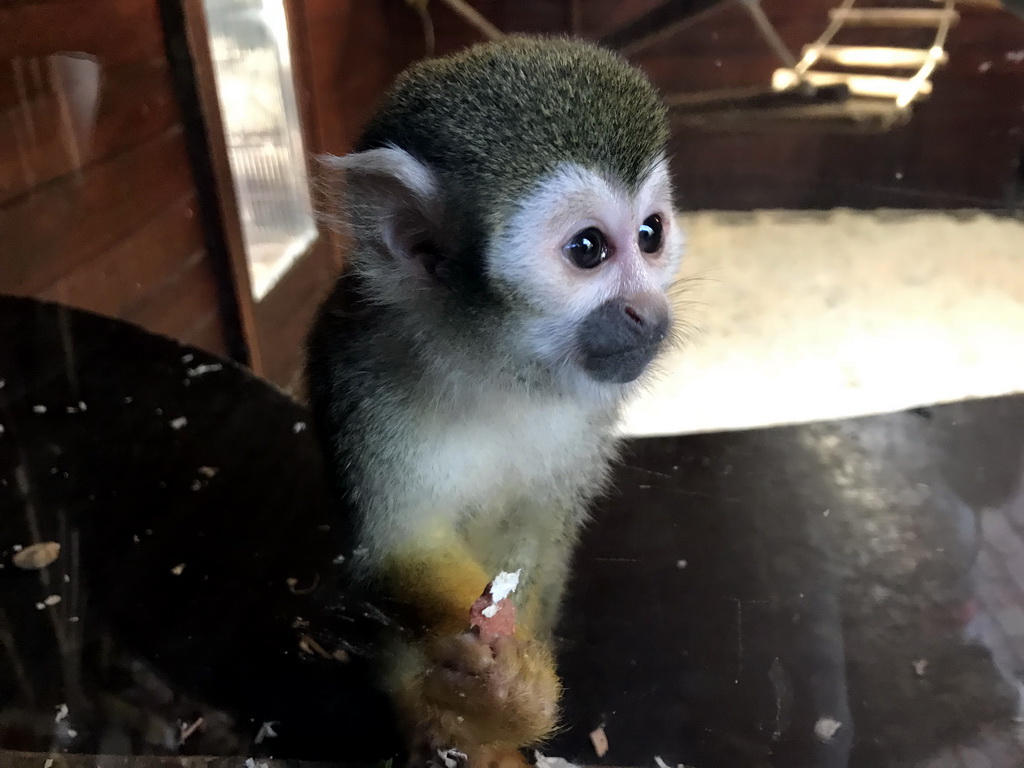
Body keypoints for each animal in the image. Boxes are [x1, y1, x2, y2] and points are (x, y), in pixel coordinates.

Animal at [307, 34, 684, 768]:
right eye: (589, 249)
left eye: (651, 234)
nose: (648, 313)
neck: (494, 366)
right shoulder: (364, 379)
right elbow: (395, 550)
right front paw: (486, 695)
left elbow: (545, 537)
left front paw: (510, 707)